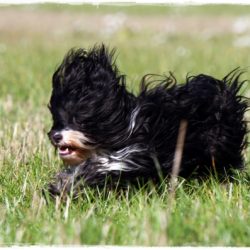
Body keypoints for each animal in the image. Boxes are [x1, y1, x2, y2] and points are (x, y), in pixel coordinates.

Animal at [46, 43, 248, 199]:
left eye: (79, 120)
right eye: (58, 119)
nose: (56, 136)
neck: (125, 126)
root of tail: (225, 91)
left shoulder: (139, 153)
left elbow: (108, 166)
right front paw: (61, 187)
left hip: (218, 145)